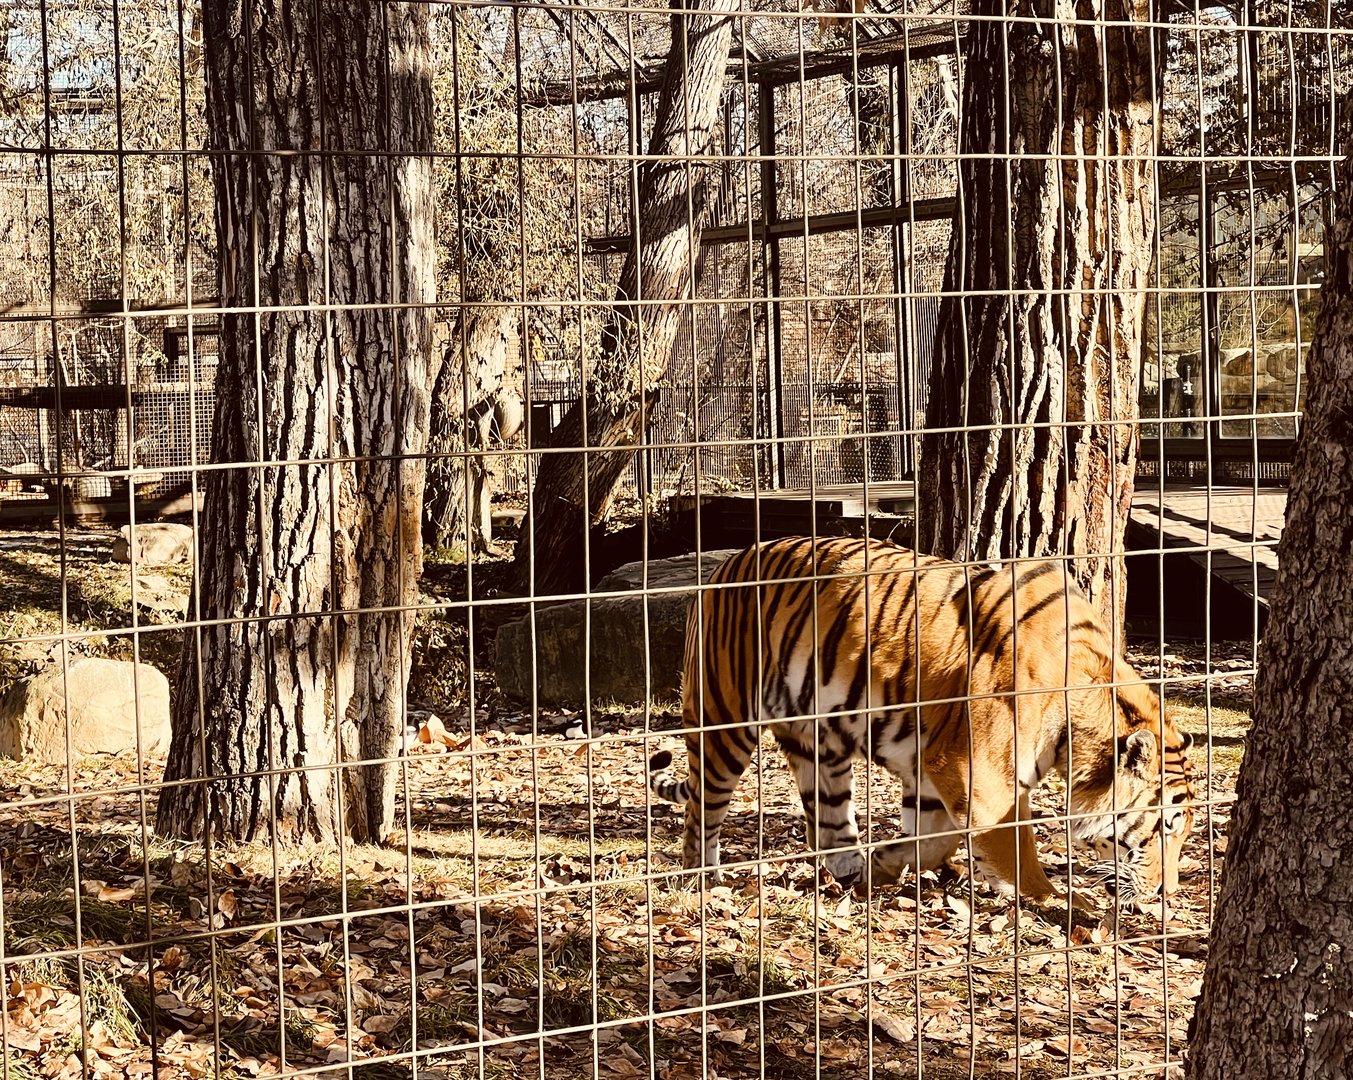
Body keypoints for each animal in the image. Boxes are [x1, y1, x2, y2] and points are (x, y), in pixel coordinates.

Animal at [647, 535, 1198, 906]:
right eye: (1165, 829)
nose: (1168, 894)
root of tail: (723, 567)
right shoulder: (973, 768)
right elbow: (1012, 846)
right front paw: (1057, 902)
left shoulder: (936, 770)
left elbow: (933, 841)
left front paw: (888, 865)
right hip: (724, 722)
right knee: (700, 815)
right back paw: (703, 882)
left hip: (820, 743)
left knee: (826, 826)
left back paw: (855, 872)